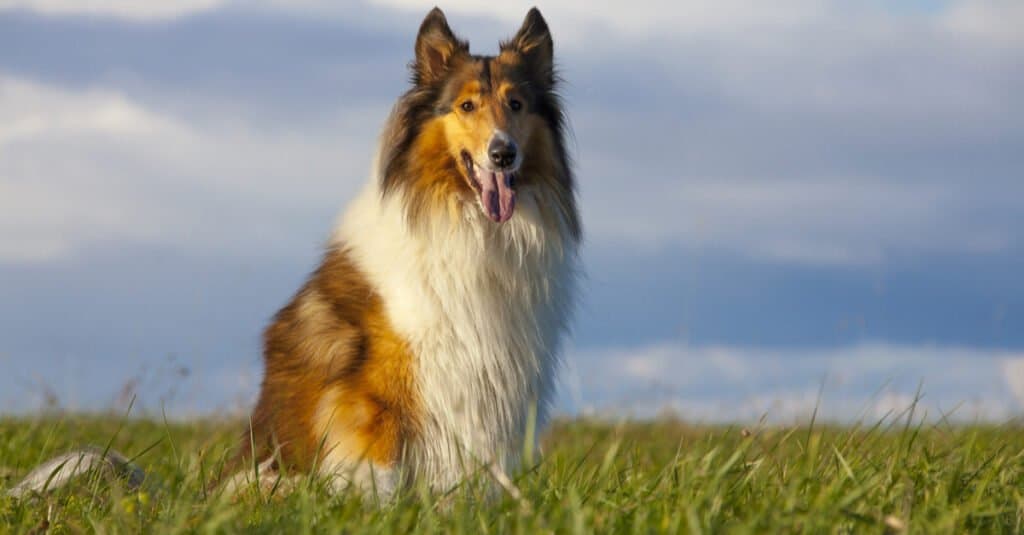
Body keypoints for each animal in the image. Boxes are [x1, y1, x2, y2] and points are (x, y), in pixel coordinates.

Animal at [8, 5, 581, 500]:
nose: (502, 153)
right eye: (466, 106)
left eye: (516, 105)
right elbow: (380, 469)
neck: (468, 221)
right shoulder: (376, 395)